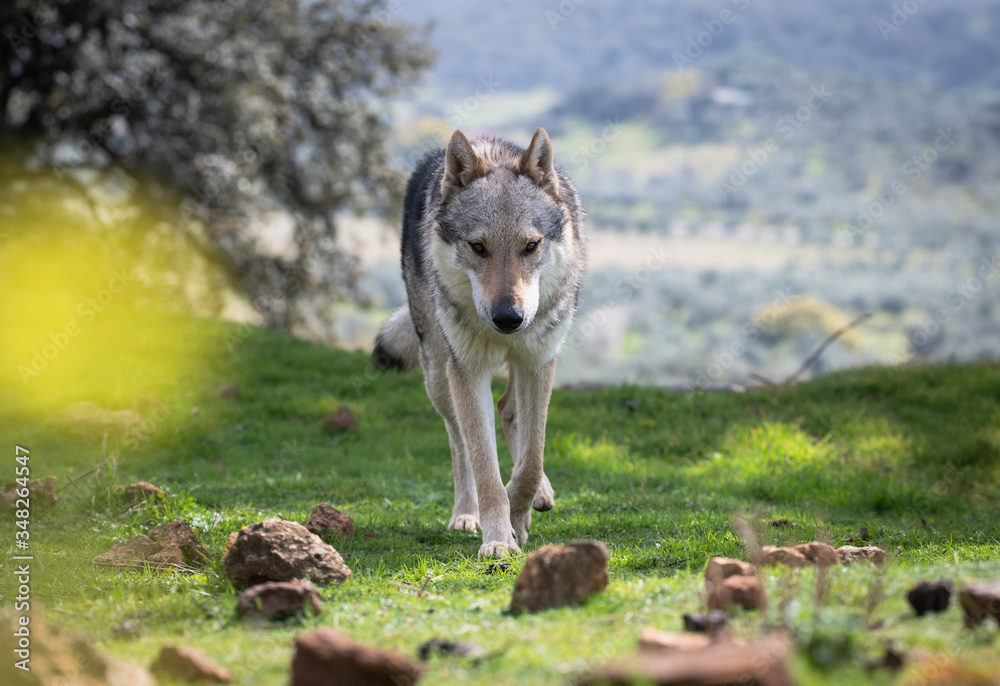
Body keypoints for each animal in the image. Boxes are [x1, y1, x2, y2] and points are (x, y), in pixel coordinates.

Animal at [373, 127, 587, 558]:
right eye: (478, 247)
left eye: (531, 245)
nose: (508, 318)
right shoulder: (468, 371)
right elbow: (487, 469)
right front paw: (499, 540)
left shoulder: (538, 362)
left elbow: (531, 461)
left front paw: (520, 515)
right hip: (440, 376)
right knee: (459, 442)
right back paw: (466, 515)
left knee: (509, 411)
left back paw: (540, 494)